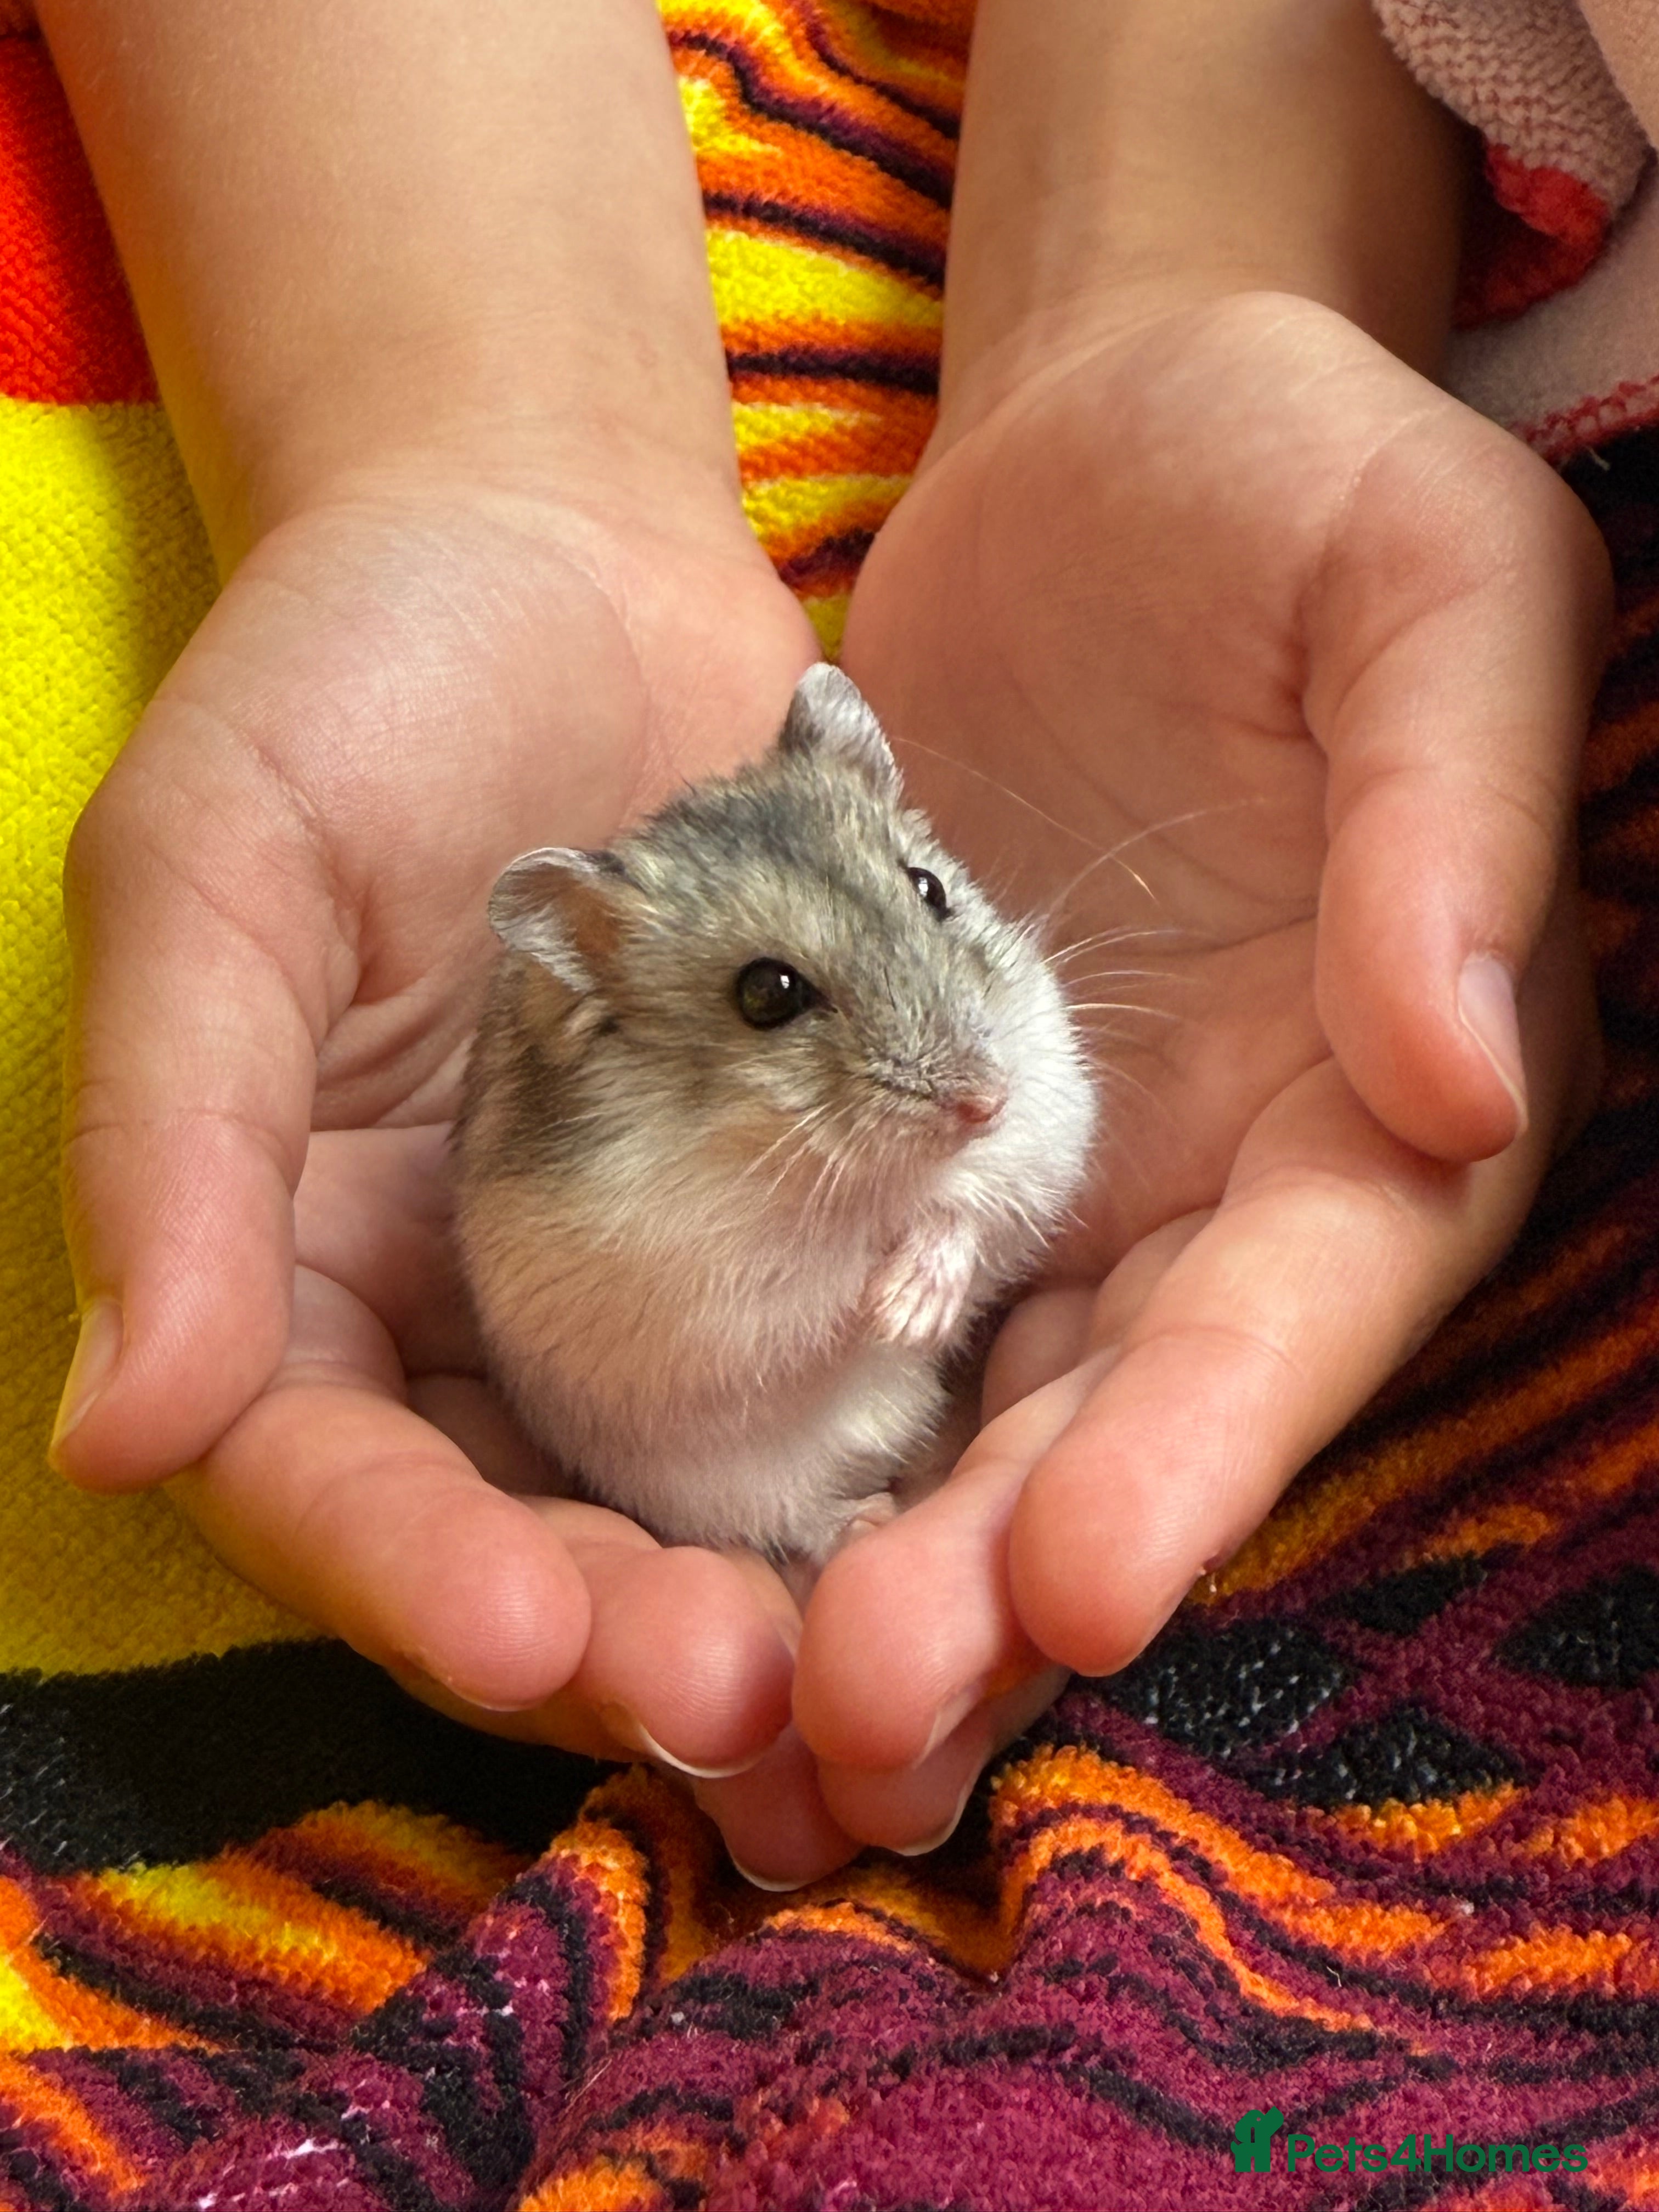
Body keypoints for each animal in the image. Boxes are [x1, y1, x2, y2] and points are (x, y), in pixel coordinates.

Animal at [452, 665, 1096, 1568]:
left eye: (929, 888)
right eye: (767, 993)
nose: (985, 1102)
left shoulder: (1048, 1105)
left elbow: (973, 1204)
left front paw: (917, 1305)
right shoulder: (712, 1287)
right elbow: (841, 1262)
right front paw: (898, 1314)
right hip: (718, 1482)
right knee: (793, 1516)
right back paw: (870, 1520)